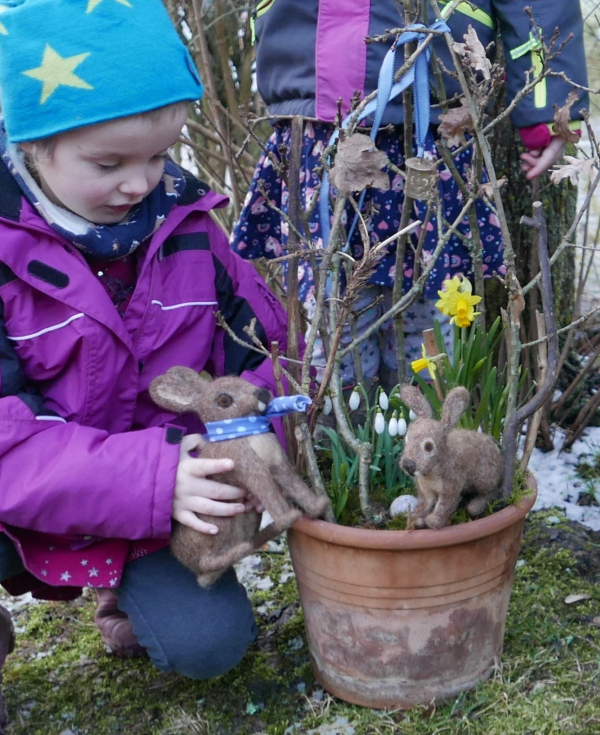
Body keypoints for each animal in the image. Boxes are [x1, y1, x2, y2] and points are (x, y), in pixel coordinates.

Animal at [149, 368, 328, 588]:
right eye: (224, 400)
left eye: (240, 379)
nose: (263, 394)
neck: (243, 431)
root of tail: (200, 575)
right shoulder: (250, 469)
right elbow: (269, 494)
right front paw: (291, 517)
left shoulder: (278, 465)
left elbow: (296, 486)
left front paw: (319, 506)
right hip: (219, 521)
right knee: (209, 560)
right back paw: (243, 547)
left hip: (248, 517)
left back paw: (259, 538)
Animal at [400, 386, 504, 528]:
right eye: (406, 440)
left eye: (428, 447)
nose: (408, 465)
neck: (431, 473)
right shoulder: (425, 491)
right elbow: (424, 505)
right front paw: (415, 518)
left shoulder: (451, 488)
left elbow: (444, 506)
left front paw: (433, 520)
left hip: (484, 478)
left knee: (492, 492)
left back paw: (475, 506)